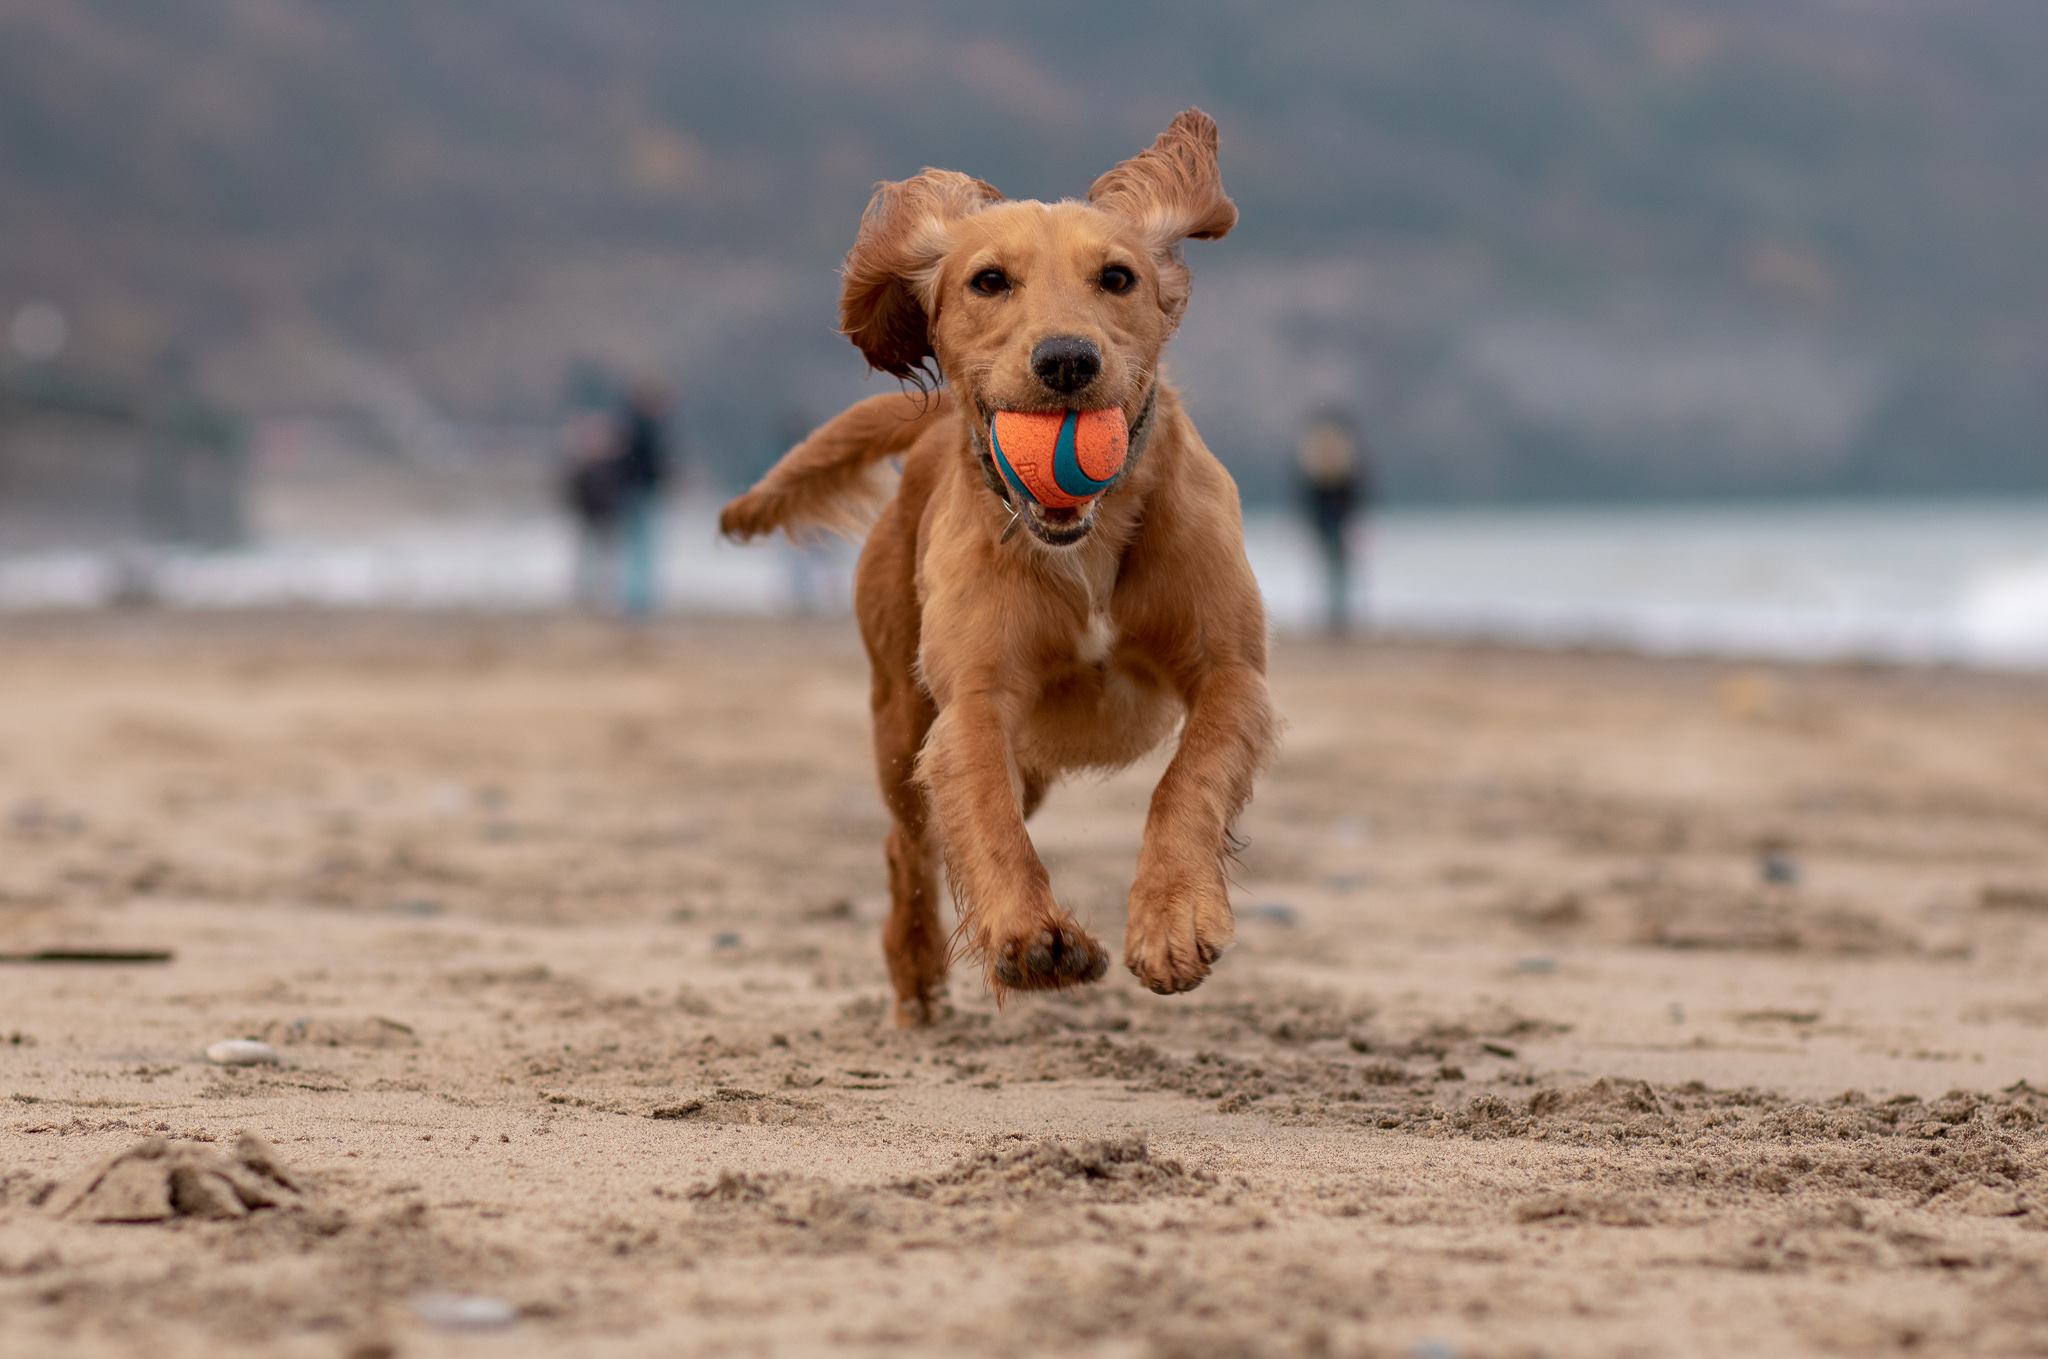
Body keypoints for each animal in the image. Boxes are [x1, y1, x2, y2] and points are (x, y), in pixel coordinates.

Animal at [716, 111, 1261, 1023]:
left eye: (1117, 277)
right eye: (989, 280)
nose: (1067, 359)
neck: (1083, 541)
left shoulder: (1232, 669)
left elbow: (1189, 777)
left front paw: (1173, 916)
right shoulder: (973, 696)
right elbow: (987, 818)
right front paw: (1030, 936)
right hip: (899, 717)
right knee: (908, 843)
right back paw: (915, 974)